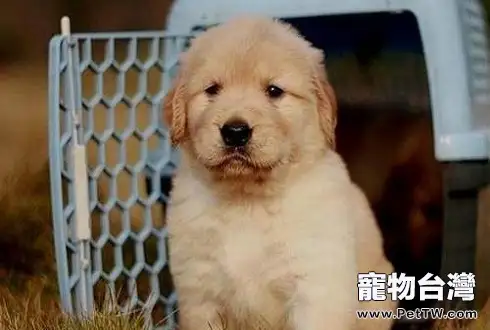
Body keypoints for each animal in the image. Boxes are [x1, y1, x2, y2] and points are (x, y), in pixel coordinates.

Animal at [163, 15, 396, 330]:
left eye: (274, 91)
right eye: (212, 90)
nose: (235, 132)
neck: (246, 201)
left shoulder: (316, 287)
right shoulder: (200, 293)